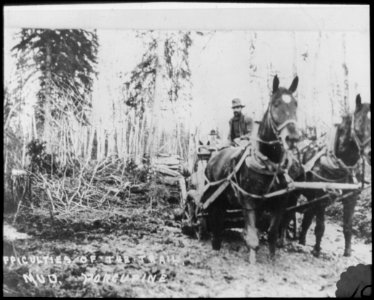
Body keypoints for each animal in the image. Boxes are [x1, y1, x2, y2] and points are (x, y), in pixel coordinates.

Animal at [200, 75, 300, 262]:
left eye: (295, 104)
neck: (269, 164)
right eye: (275, 104)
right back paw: (215, 245)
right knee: (215, 218)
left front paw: (272, 258)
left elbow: (272, 232)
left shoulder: (279, 203)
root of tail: (213, 157)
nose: (293, 138)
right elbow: (253, 237)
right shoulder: (248, 201)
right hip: (214, 197)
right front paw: (252, 261)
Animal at [284, 94, 370, 258]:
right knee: (287, 211)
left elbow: (347, 226)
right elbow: (320, 226)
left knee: (307, 215)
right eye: (358, 125)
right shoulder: (321, 198)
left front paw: (347, 252)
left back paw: (301, 240)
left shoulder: (351, 199)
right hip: (294, 192)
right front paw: (317, 250)